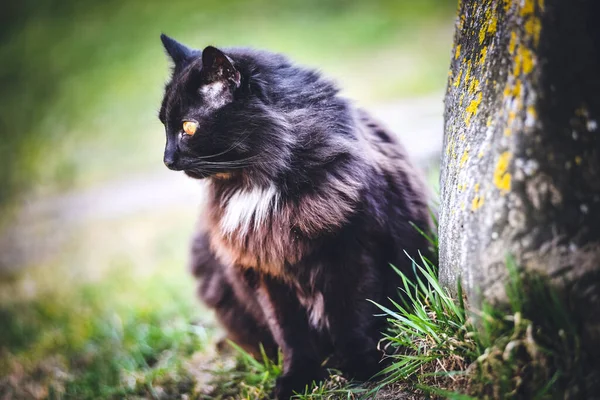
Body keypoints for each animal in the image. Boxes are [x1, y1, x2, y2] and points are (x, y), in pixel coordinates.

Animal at [157, 35, 434, 400]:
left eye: (188, 128)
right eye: (164, 126)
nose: (167, 159)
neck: (259, 184)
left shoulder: (353, 252)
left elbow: (353, 316)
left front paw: (363, 367)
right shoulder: (265, 271)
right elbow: (290, 335)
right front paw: (296, 379)